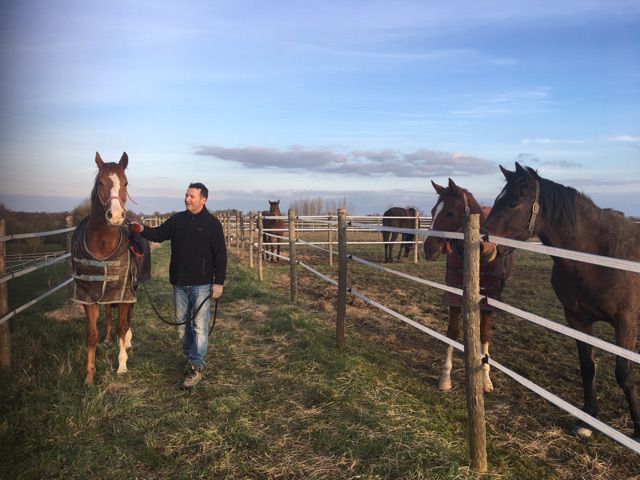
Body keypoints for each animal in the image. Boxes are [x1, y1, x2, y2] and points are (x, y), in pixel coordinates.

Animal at [71, 152, 150, 385]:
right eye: (100, 182)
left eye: (125, 182)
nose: (115, 216)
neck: (102, 245)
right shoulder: (88, 296)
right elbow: (91, 335)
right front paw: (89, 376)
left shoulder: (124, 292)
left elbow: (122, 326)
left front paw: (122, 365)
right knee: (108, 313)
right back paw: (108, 338)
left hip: (132, 289)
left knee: (127, 319)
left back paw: (127, 341)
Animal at [422, 178, 513, 392]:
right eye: (432, 211)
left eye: (449, 213)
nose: (427, 249)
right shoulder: (454, 296)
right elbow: (453, 332)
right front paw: (445, 378)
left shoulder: (489, 300)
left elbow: (484, 335)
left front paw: (485, 379)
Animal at [483, 162, 640, 440]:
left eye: (513, 202)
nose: (485, 246)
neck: (598, 256)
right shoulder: (577, 320)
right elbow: (588, 367)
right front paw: (588, 420)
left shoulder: (625, 322)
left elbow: (624, 374)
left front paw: (639, 431)